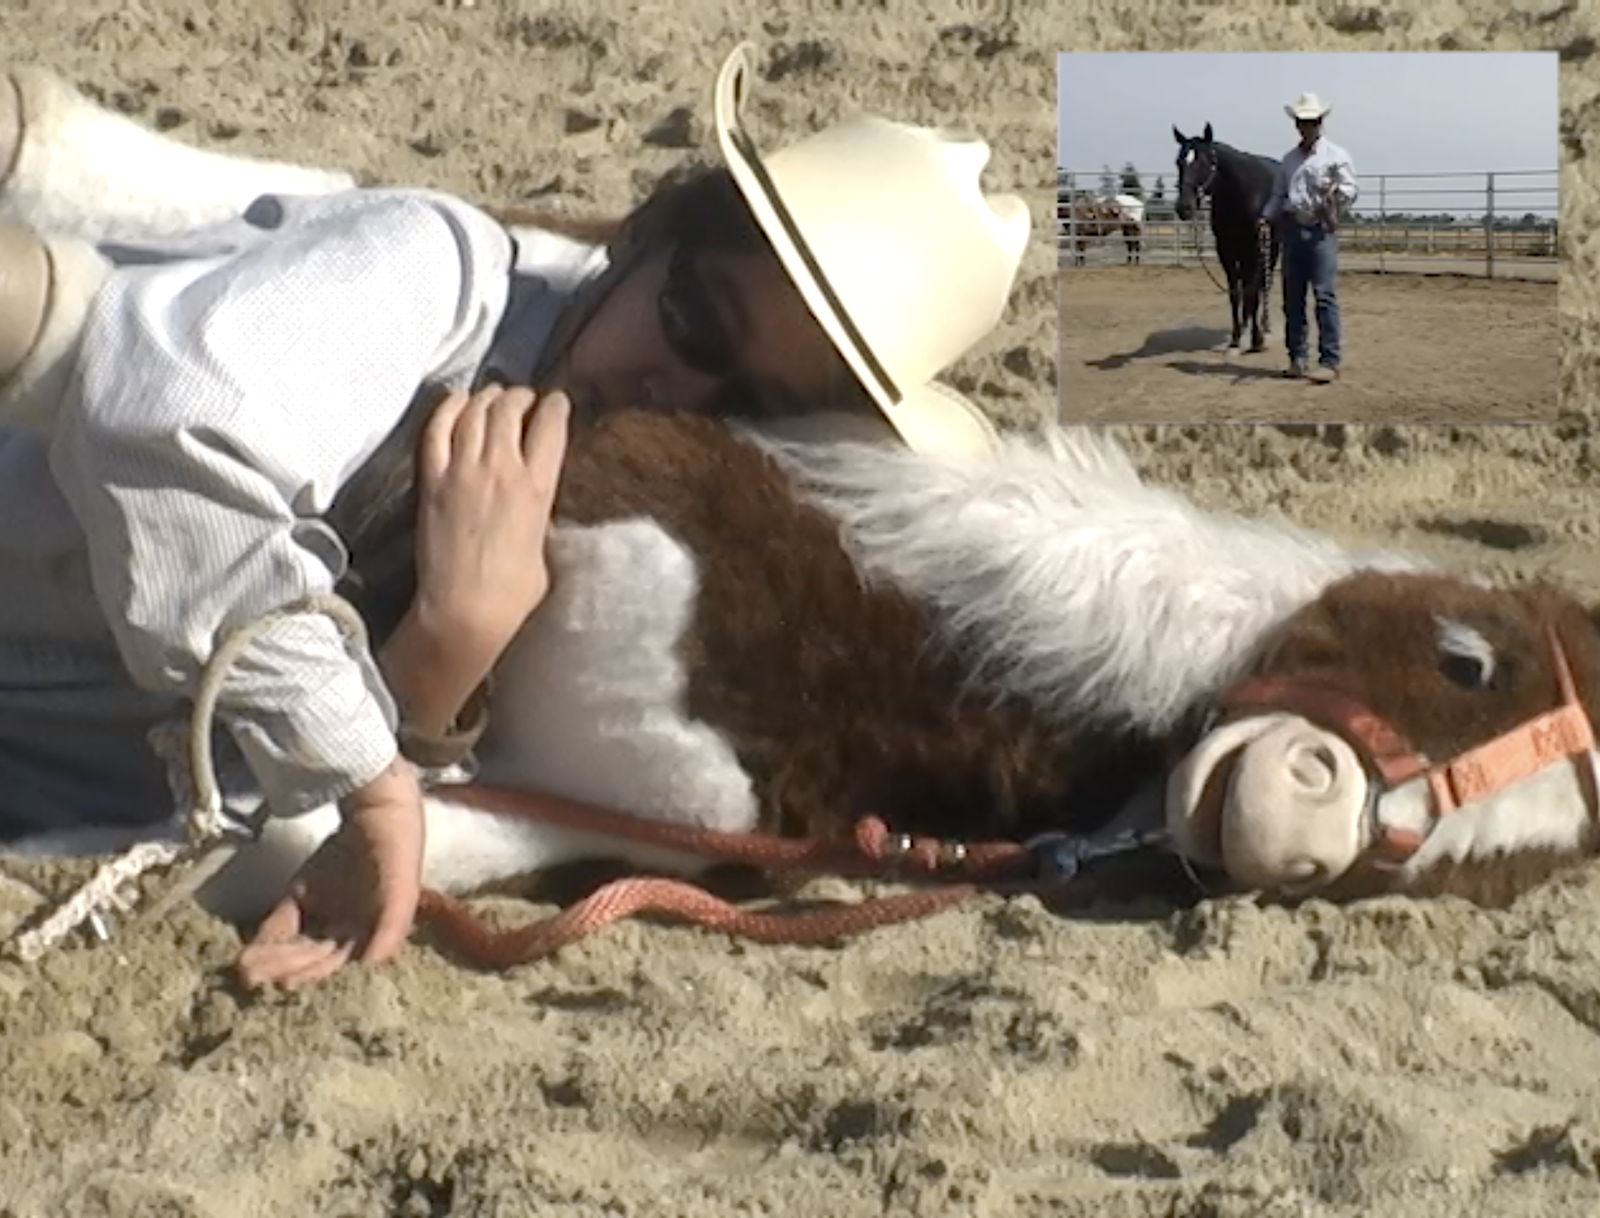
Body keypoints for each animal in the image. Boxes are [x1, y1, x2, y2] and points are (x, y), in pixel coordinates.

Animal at [1172, 123, 1281, 355]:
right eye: (1178, 161)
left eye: (1204, 162)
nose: (1184, 207)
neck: (1241, 194)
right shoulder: (1226, 251)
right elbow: (1235, 294)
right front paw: (1236, 338)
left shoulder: (1256, 249)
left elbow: (1252, 292)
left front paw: (1256, 340)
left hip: (1272, 248)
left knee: (1264, 285)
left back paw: (1264, 326)